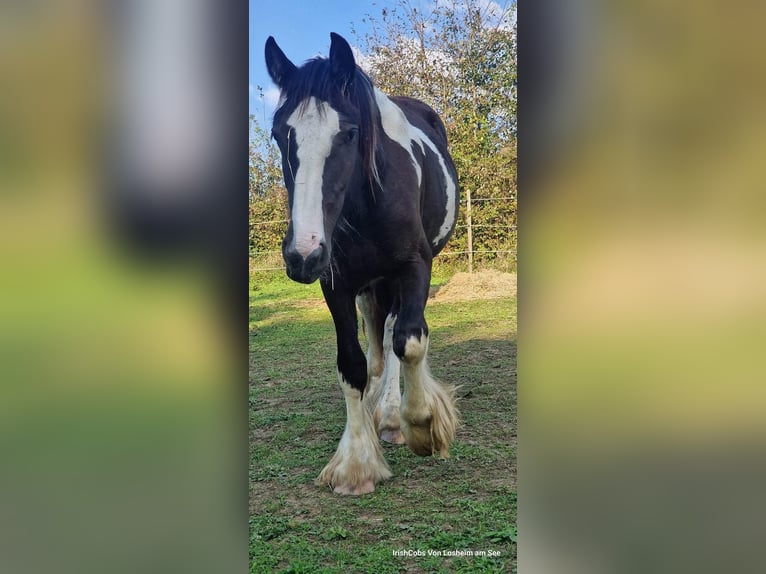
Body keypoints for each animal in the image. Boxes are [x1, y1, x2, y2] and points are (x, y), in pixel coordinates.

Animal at [264, 33, 460, 498]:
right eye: (280, 133)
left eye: (349, 133)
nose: (303, 253)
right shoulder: (336, 283)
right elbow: (353, 365)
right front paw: (356, 464)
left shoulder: (414, 267)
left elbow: (409, 341)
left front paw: (422, 423)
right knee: (377, 343)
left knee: (394, 335)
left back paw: (391, 416)